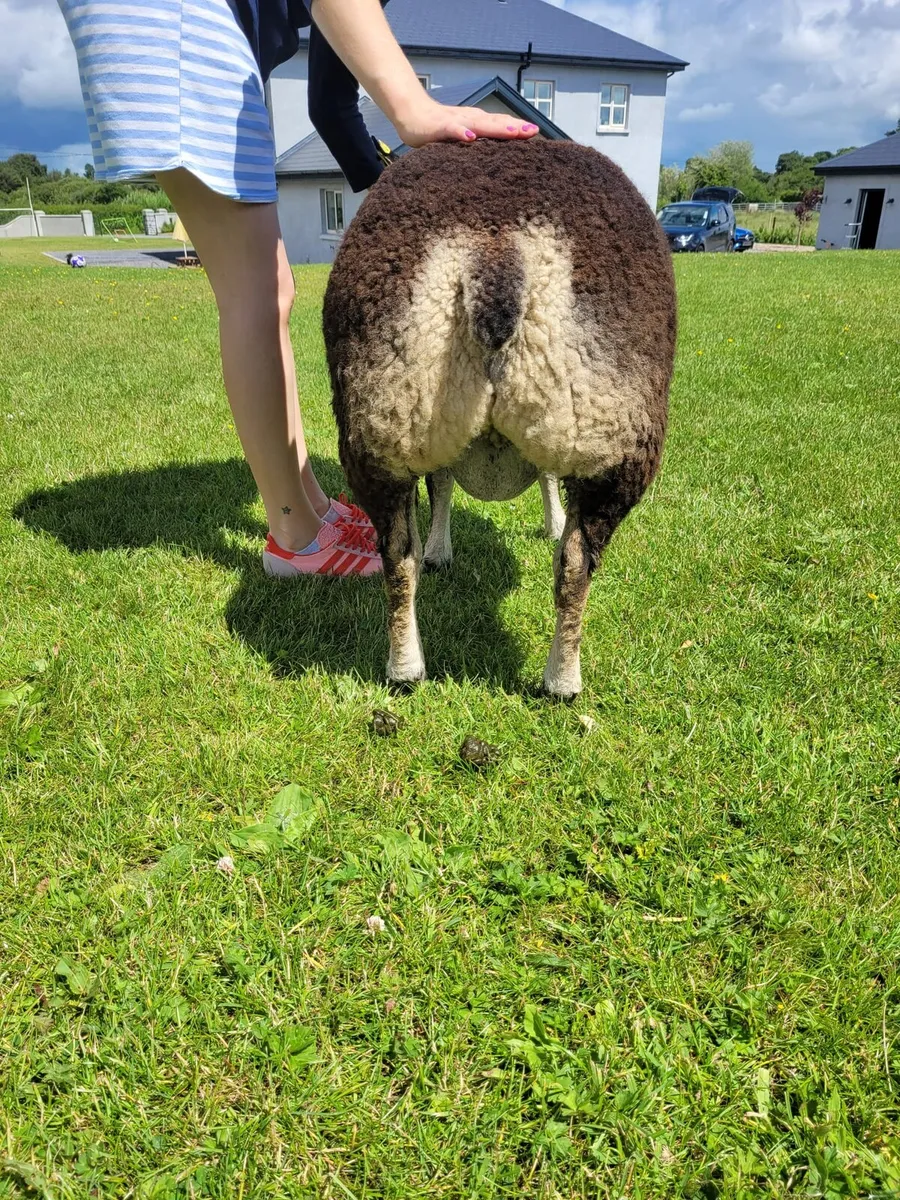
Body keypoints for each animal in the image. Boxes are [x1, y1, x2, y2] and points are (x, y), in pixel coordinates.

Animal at [323, 138, 676, 698]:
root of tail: (493, 259)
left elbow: (444, 485)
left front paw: (441, 548)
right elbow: (532, 479)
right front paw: (547, 522)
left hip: (382, 425)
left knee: (397, 558)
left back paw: (405, 668)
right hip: (615, 441)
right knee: (577, 565)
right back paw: (562, 681)